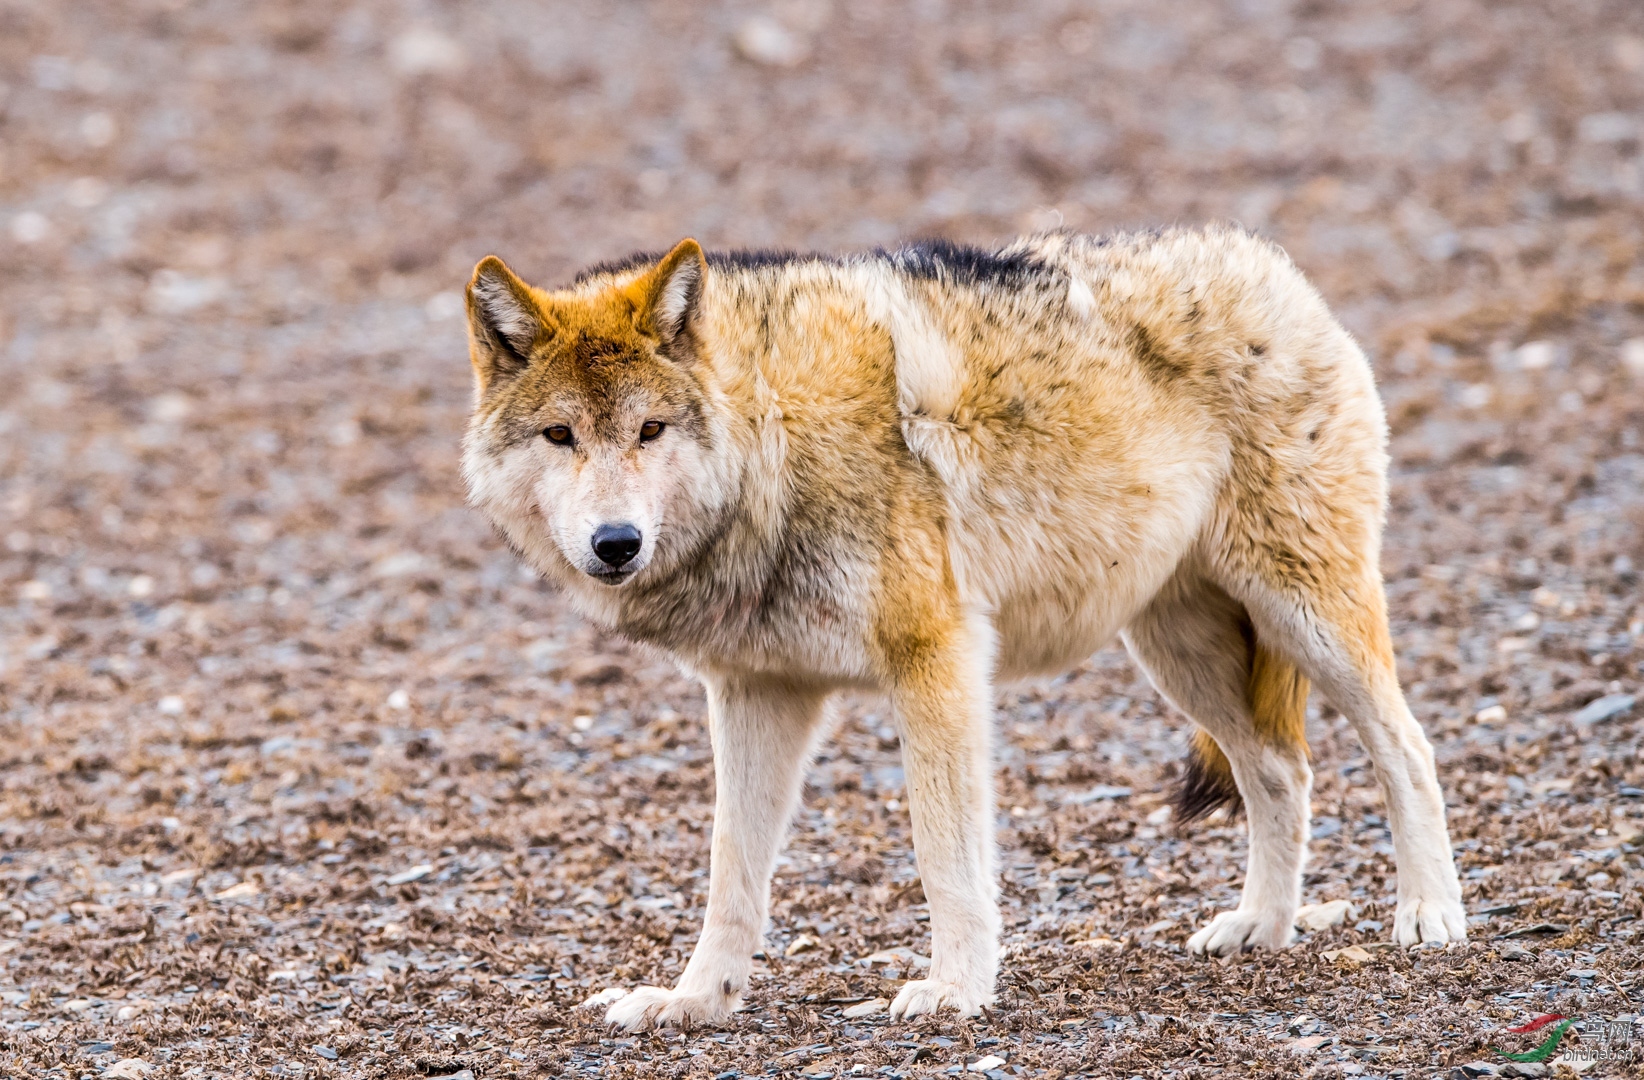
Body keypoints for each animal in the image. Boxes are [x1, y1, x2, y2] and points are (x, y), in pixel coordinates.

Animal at [460, 225, 1466, 1025]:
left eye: (650, 430)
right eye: (561, 436)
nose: (615, 543)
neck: (776, 435)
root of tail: (1274, 267)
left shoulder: (935, 661)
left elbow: (945, 853)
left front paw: (954, 989)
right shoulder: (757, 694)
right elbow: (730, 875)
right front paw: (694, 1001)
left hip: (1304, 617)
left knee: (1407, 749)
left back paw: (1430, 915)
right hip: (1178, 654)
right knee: (1282, 772)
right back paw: (1263, 925)